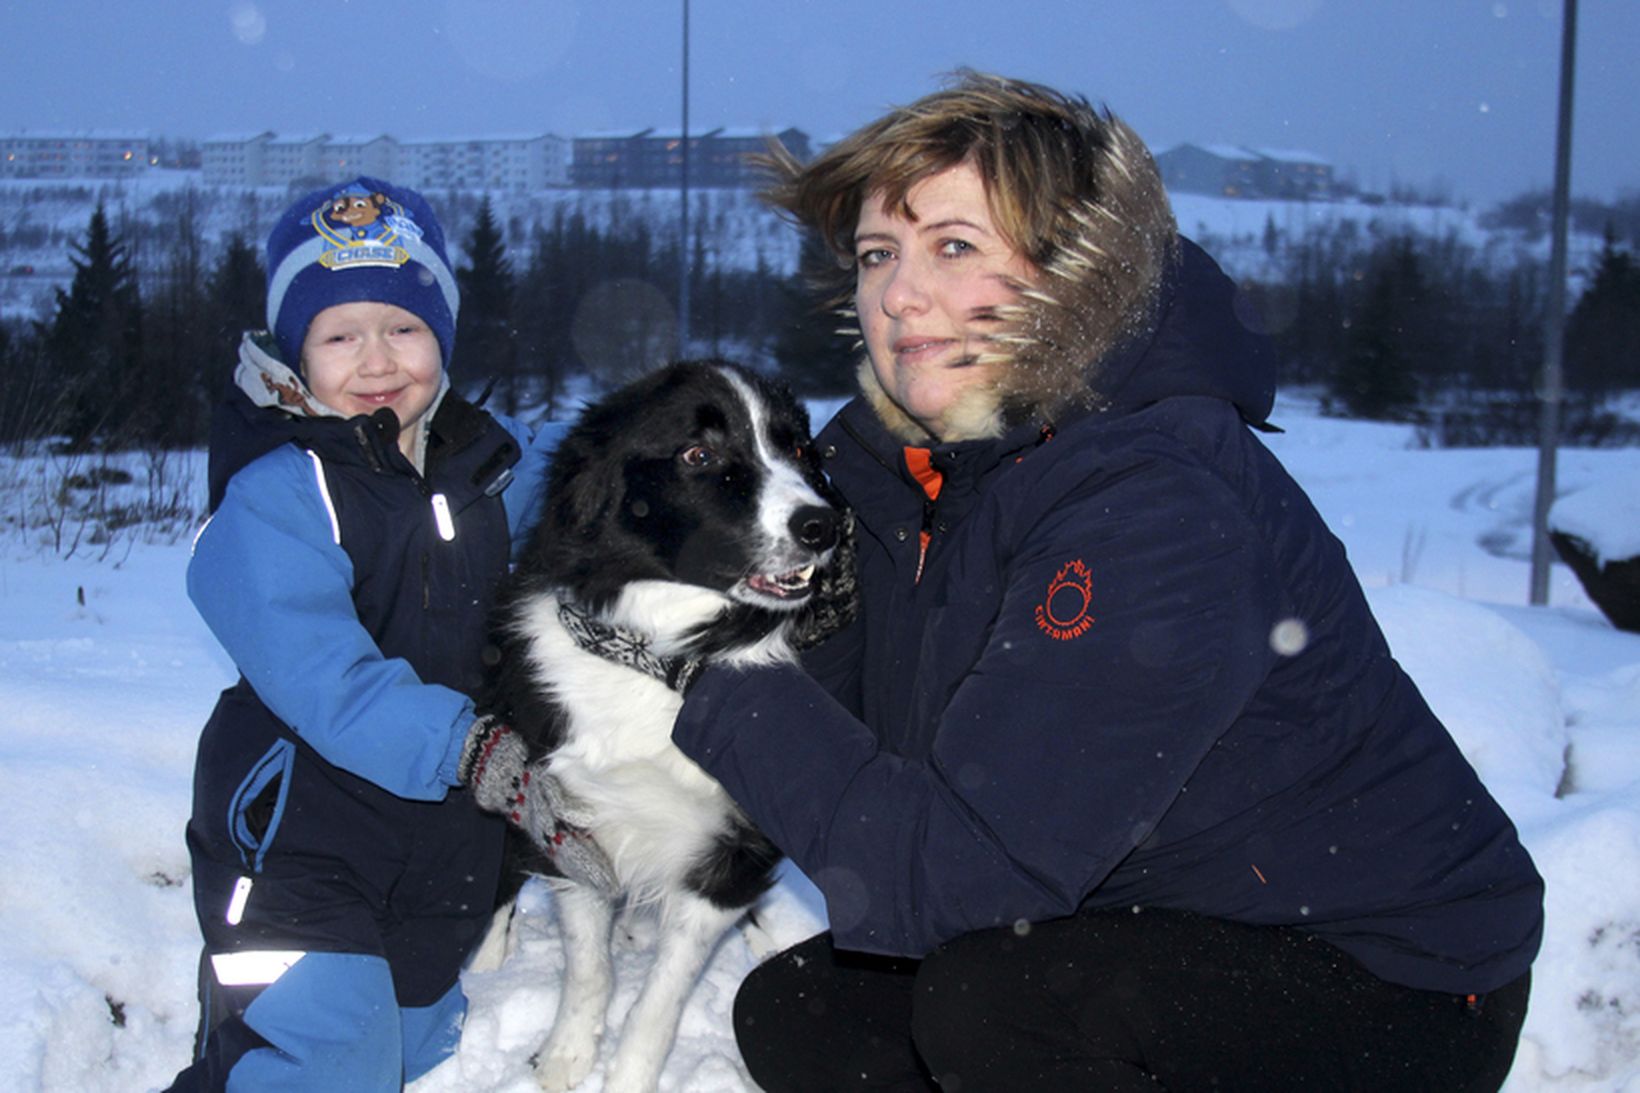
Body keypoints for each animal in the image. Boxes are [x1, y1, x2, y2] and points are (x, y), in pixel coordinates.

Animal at [475, 361, 846, 1089]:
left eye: (797, 447)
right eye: (698, 454)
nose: (823, 525)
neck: (661, 655)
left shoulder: (736, 841)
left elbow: (660, 999)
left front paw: (623, 1074)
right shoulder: (570, 812)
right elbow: (588, 965)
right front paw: (566, 1055)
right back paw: (486, 964)